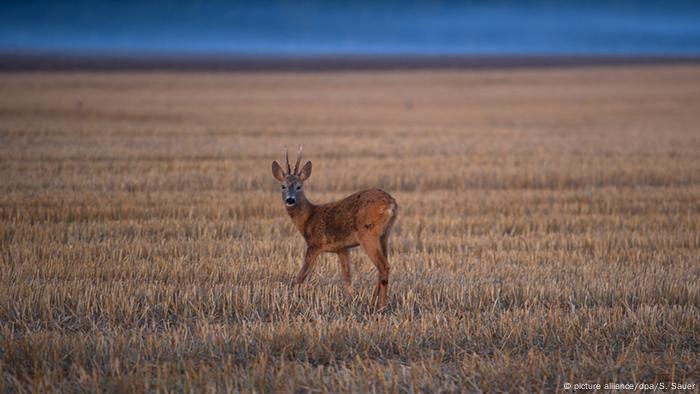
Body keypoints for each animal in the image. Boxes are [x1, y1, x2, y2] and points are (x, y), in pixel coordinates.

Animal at [270, 146, 396, 310]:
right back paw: (372, 302)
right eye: (283, 186)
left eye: (299, 186)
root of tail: (391, 204)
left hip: (368, 232)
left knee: (383, 266)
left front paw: (292, 300)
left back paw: (381, 307)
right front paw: (352, 300)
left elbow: (301, 276)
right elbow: (347, 276)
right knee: (382, 267)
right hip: (385, 235)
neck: (309, 217)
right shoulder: (342, 248)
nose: (290, 200)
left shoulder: (315, 244)